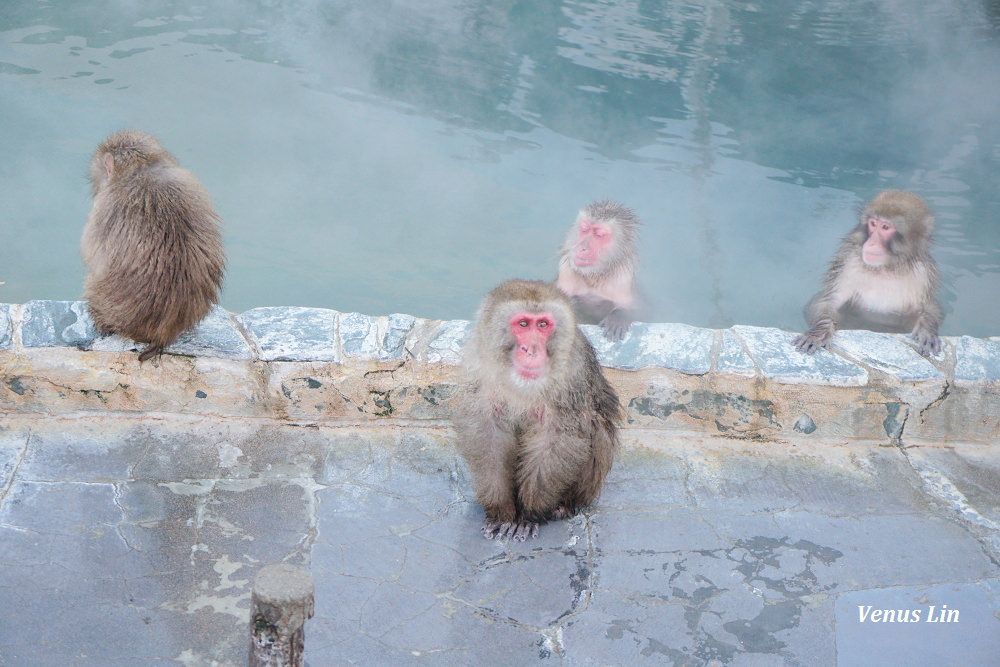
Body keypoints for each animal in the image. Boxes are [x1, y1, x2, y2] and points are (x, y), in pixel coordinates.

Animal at [456, 280, 620, 540]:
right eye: (523, 324)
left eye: (543, 325)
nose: (531, 348)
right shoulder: (479, 364)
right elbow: (488, 432)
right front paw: (502, 512)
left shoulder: (571, 374)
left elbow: (554, 439)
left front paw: (528, 516)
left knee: (595, 424)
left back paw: (564, 505)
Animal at [556, 198, 640, 342]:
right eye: (584, 229)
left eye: (599, 235)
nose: (582, 247)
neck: (594, 274)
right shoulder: (566, 268)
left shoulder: (624, 275)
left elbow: (631, 309)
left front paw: (617, 317)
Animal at [792, 190, 940, 358]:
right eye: (873, 224)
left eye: (885, 227)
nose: (871, 242)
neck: (887, 267)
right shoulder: (849, 263)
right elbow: (829, 300)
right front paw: (819, 332)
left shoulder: (924, 273)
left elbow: (928, 307)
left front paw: (926, 330)